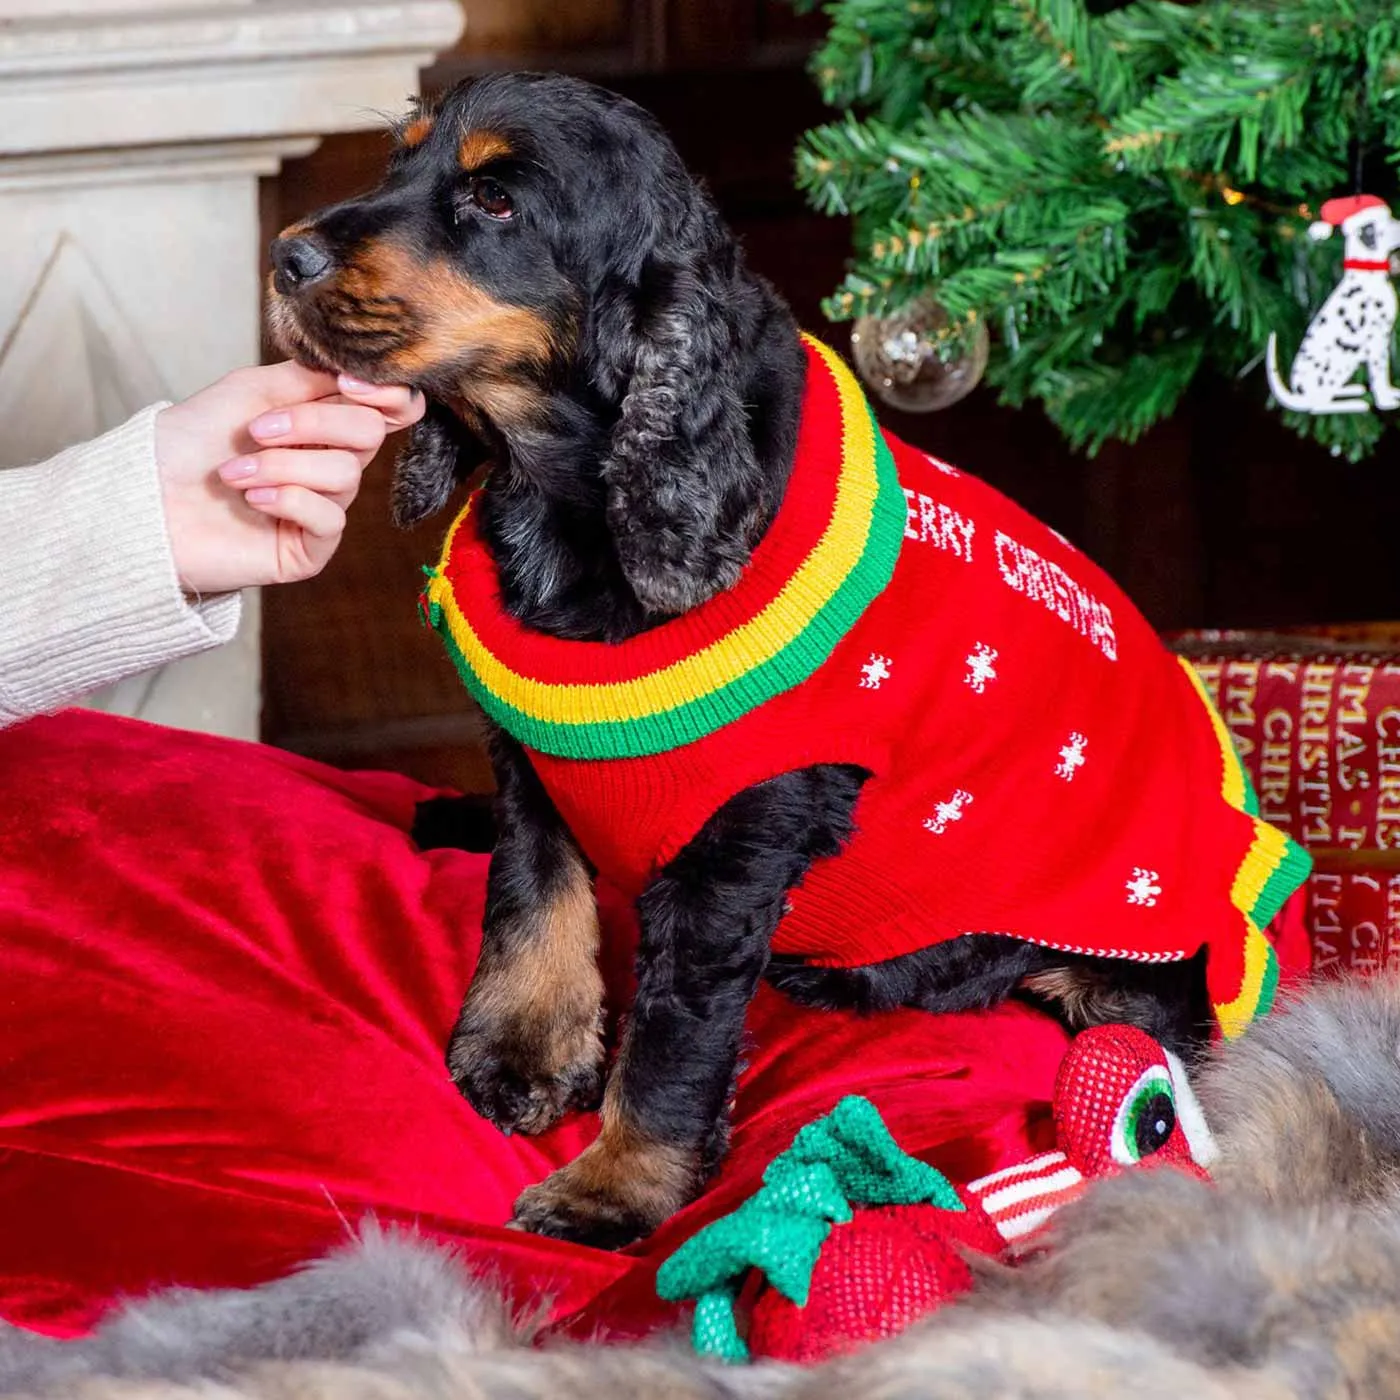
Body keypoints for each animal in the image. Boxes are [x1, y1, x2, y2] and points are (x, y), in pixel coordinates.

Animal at [263, 68, 1310, 1248]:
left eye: (494, 201)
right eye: (400, 161)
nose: (286, 258)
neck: (576, 500)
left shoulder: (742, 834)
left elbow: (674, 1029)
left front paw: (614, 1187)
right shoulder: (534, 754)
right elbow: (532, 898)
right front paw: (522, 1056)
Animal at [1271, 197, 1400, 414]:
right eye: (1387, 221)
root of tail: (1299, 394)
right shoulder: (1377, 342)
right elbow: (1380, 376)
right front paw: (1385, 400)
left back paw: (1352, 390)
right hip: (1337, 366)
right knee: (1318, 406)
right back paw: (1354, 403)